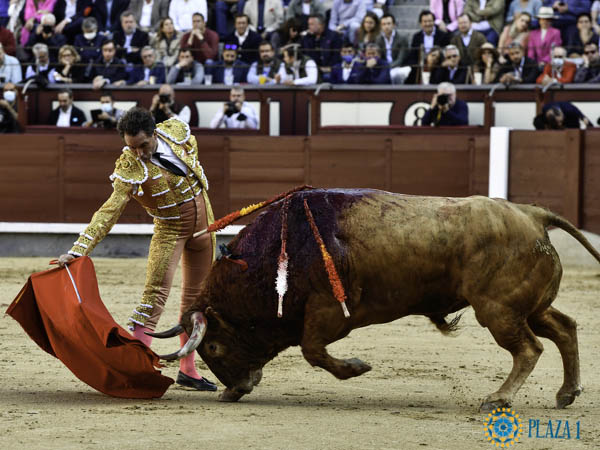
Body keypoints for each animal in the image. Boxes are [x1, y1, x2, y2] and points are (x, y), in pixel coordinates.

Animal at [154, 188, 600, 410]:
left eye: (213, 346)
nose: (234, 390)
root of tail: (533, 214)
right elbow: (311, 349)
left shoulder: (330, 311)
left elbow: (312, 349)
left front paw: (357, 367)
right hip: (528, 306)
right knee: (564, 328)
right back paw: (566, 393)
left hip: (498, 310)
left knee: (529, 348)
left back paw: (499, 398)